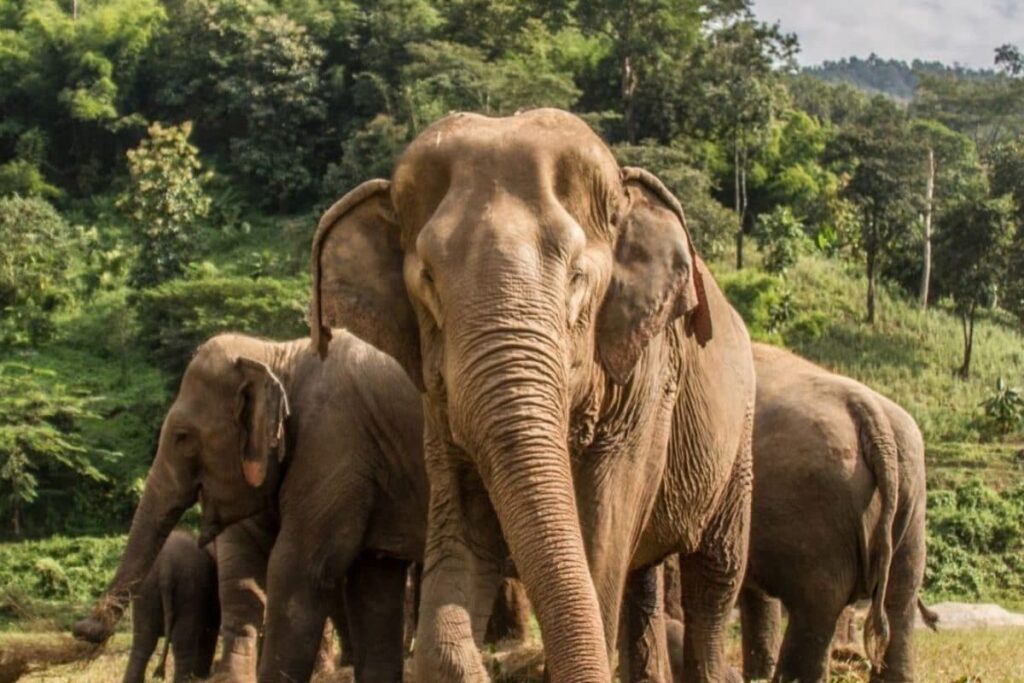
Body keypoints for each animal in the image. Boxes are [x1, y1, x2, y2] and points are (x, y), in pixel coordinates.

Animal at [123, 528, 219, 683]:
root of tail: (166, 566)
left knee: (143, 642)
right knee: (182, 642)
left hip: (146, 588)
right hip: (189, 587)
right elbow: (210, 630)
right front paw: (201, 677)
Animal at [311, 108, 756, 682]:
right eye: (428, 279)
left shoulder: (646, 377)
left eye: (577, 277)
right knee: (645, 576)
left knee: (716, 574)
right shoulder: (438, 399)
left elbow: (603, 527)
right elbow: (466, 522)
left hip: (740, 435)